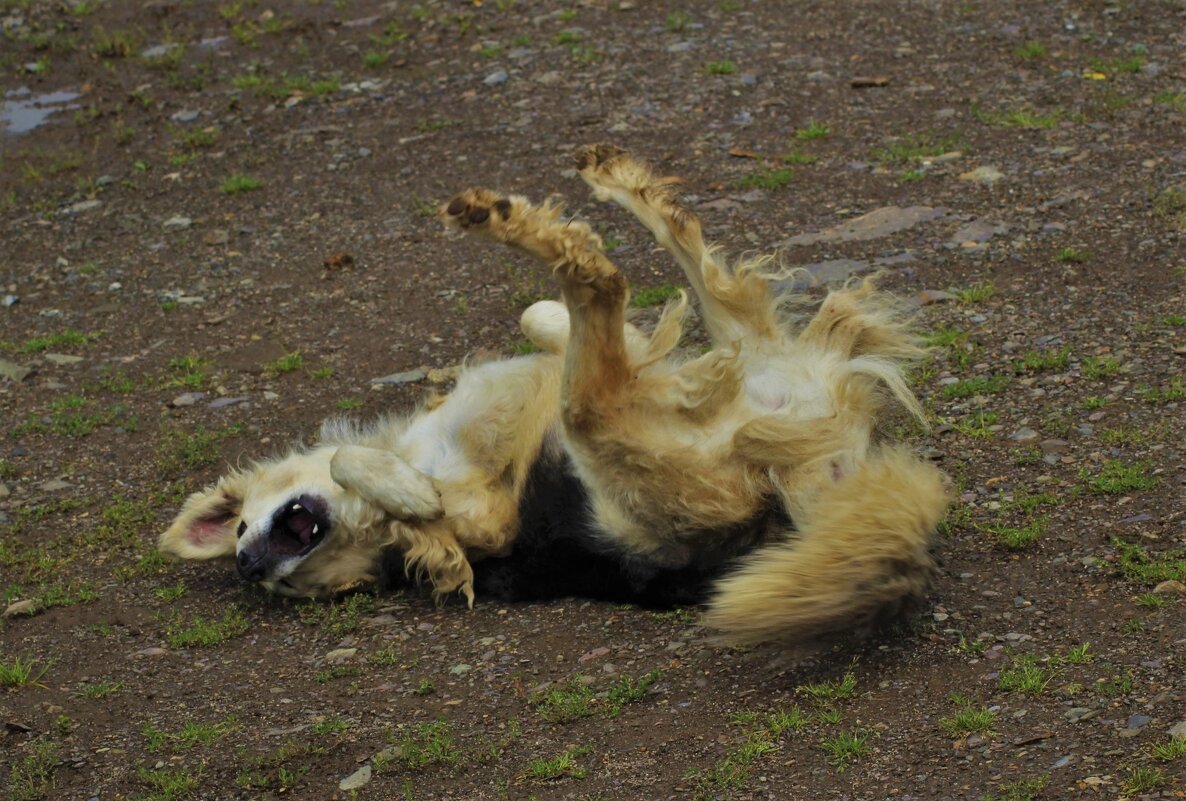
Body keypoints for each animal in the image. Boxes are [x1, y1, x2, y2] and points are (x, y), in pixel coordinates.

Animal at [160, 145, 953, 645]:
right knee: (606, 287)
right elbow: (384, 480)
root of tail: (807, 494)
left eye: (238, 527)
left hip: (726, 353)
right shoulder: (487, 521)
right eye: (293, 593)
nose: (248, 564)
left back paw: (595, 193)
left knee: (683, 268)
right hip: (600, 423)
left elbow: (539, 319)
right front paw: (410, 494)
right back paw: (543, 226)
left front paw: (663, 354)